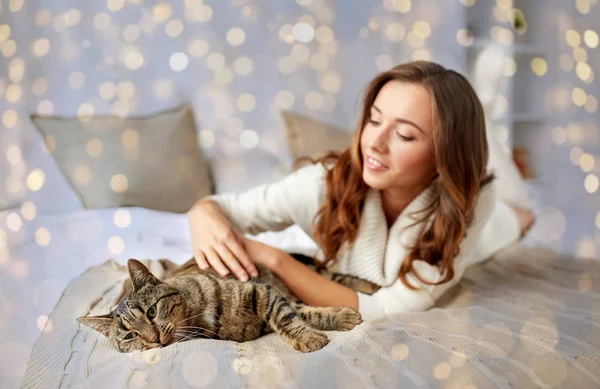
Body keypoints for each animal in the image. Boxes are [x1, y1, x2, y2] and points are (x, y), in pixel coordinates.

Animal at [78, 253, 380, 354]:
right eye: (130, 336)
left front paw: (311, 336)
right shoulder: (276, 301)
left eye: (151, 312)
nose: (152, 339)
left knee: (338, 276)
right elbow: (304, 314)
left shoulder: (260, 291)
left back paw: (374, 288)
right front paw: (339, 320)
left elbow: (285, 318)